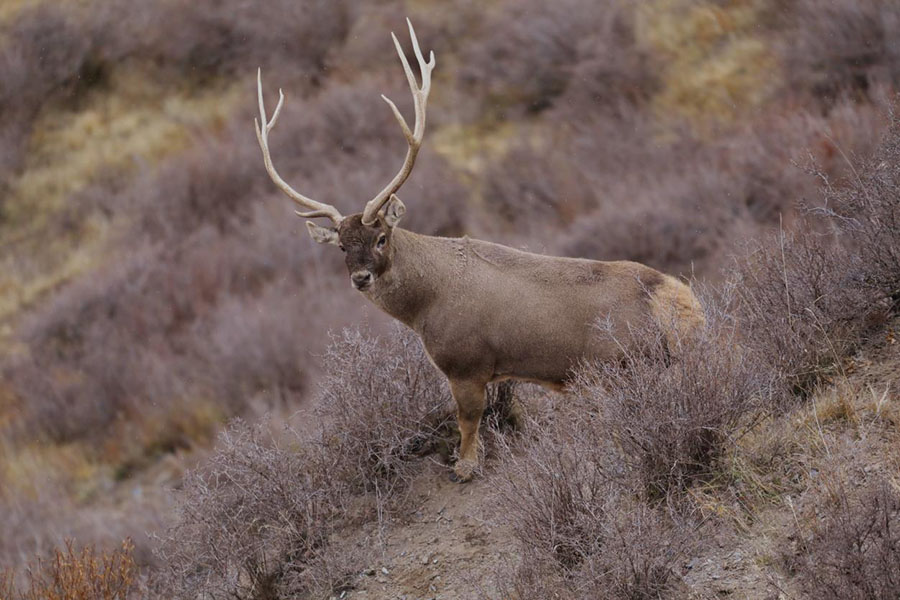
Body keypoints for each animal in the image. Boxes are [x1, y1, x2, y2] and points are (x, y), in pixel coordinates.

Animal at [253, 17, 704, 482]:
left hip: (626, 364)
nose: (360, 277)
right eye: (341, 246)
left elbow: (468, 419)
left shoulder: (466, 362)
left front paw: (465, 466)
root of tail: (679, 300)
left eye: (380, 237)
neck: (426, 303)